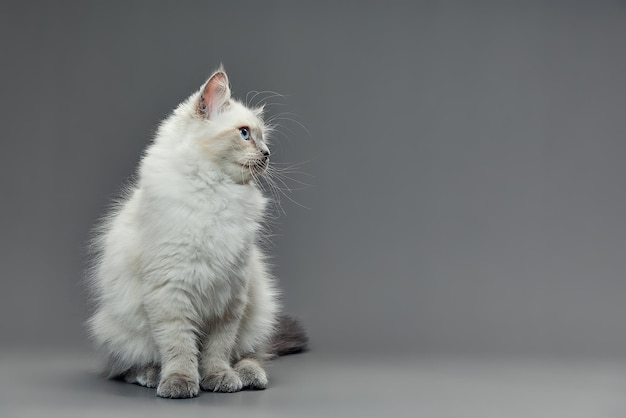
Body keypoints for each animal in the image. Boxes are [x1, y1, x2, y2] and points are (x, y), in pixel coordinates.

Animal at [84, 65, 304, 398]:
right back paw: (152, 376)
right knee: (127, 367)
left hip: (259, 310)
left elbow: (217, 350)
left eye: (263, 138)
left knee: (249, 354)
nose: (267, 153)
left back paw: (250, 376)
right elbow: (179, 347)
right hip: (118, 328)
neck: (217, 192)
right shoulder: (171, 290)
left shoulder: (230, 295)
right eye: (244, 133)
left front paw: (219, 379)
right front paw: (180, 383)